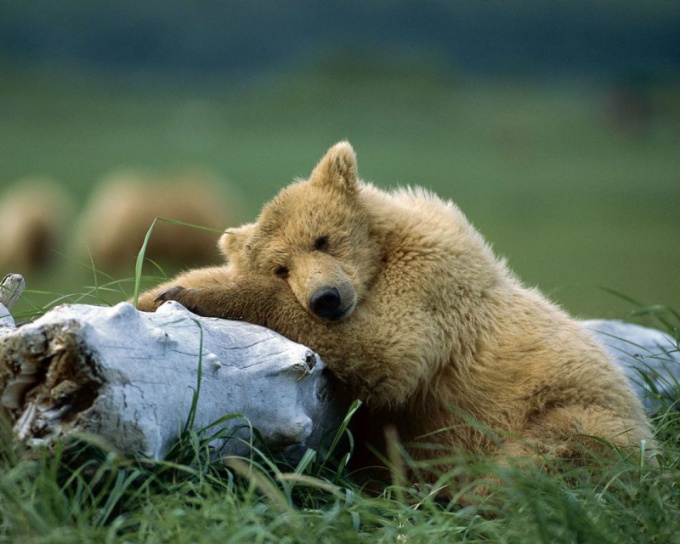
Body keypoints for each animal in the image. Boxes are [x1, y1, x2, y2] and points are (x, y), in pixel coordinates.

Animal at [138, 141, 652, 480]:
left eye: (322, 239)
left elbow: (384, 348)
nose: (325, 299)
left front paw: (195, 296)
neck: (382, 252)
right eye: (281, 267)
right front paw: (160, 292)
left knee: (548, 457)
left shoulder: (431, 283)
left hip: (574, 411)